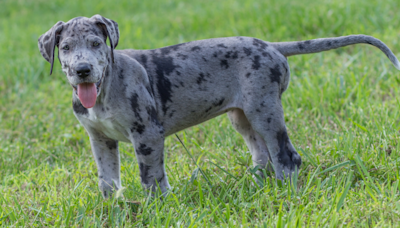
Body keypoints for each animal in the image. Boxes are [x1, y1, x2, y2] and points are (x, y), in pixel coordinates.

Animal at [38, 15, 400, 199]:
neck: (104, 91)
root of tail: (270, 45)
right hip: (242, 117)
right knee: (262, 153)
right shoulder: (100, 140)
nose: (83, 69)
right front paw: (114, 211)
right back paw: (256, 183)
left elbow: (150, 177)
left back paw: (286, 193)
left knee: (286, 156)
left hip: (264, 110)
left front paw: (156, 208)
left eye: (96, 43)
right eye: (66, 47)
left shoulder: (147, 134)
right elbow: (108, 181)